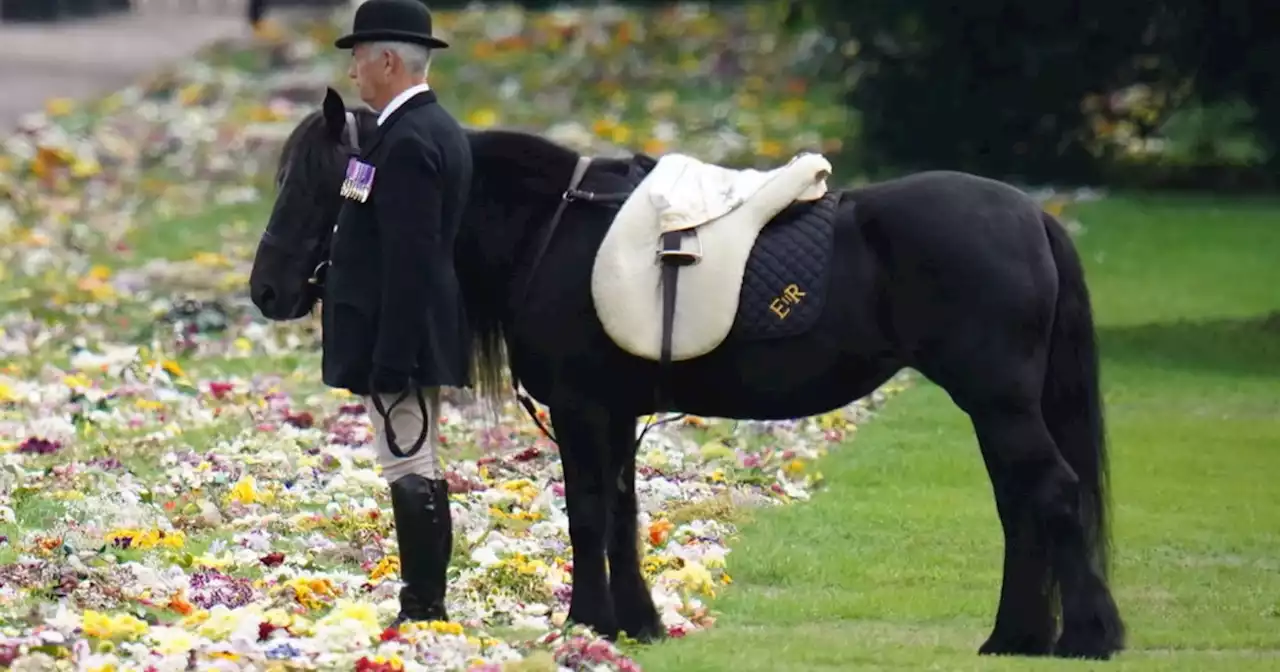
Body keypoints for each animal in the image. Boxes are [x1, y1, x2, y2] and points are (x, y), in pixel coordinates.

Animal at [247, 90, 1121, 660]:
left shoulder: (582, 408)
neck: (551, 231)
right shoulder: (616, 411)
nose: (267, 290)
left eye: (319, 182)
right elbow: (624, 515)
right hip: (996, 406)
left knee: (1053, 494)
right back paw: (1017, 636)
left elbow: (588, 514)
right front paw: (637, 622)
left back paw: (1087, 636)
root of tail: (1033, 216)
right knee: (1021, 505)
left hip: (997, 400)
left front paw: (586, 622)